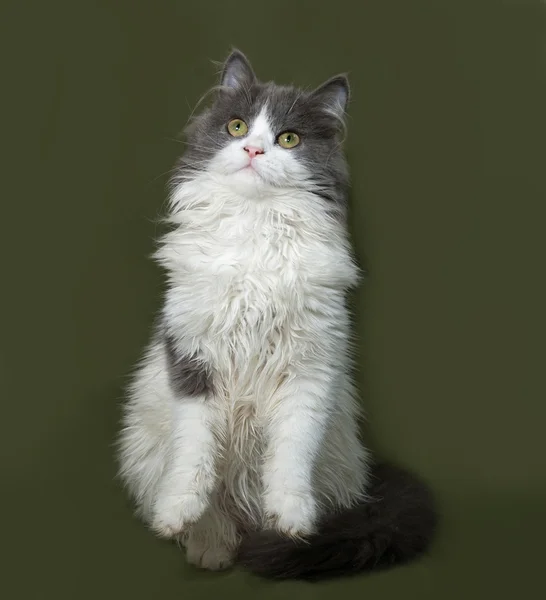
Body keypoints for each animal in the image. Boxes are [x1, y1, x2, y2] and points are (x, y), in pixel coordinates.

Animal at [117, 51, 436, 580]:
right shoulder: (191, 364)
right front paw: (176, 513)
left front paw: (291, 518)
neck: (256, 233)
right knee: (217, 510)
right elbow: (194, 455)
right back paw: (210, 548)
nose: (253, 150)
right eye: (237, 126)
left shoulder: (310, 368)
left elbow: (291, 452)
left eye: (289, 139)